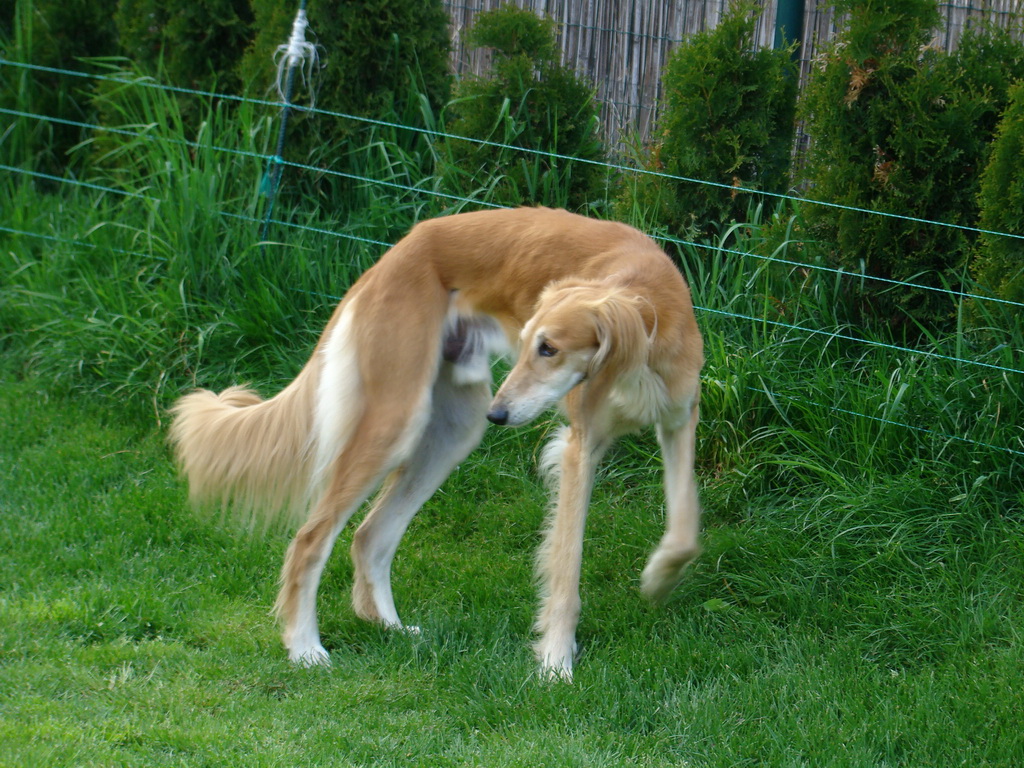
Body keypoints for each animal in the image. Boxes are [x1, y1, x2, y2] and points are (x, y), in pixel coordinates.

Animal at [172, 205, 708, 679]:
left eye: (549, 348)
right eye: (529, 343)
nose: (500, 415)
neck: (649, 308)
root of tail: (395, 254)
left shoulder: (680, 423)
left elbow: (685, 532)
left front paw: (658, 579)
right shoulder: (580, 447)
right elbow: (566, 571)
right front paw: (556, 663)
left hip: (455, 428)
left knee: (370, 534)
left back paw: (390, 629)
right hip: (396, 421)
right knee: (311, 538)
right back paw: (305, 649)